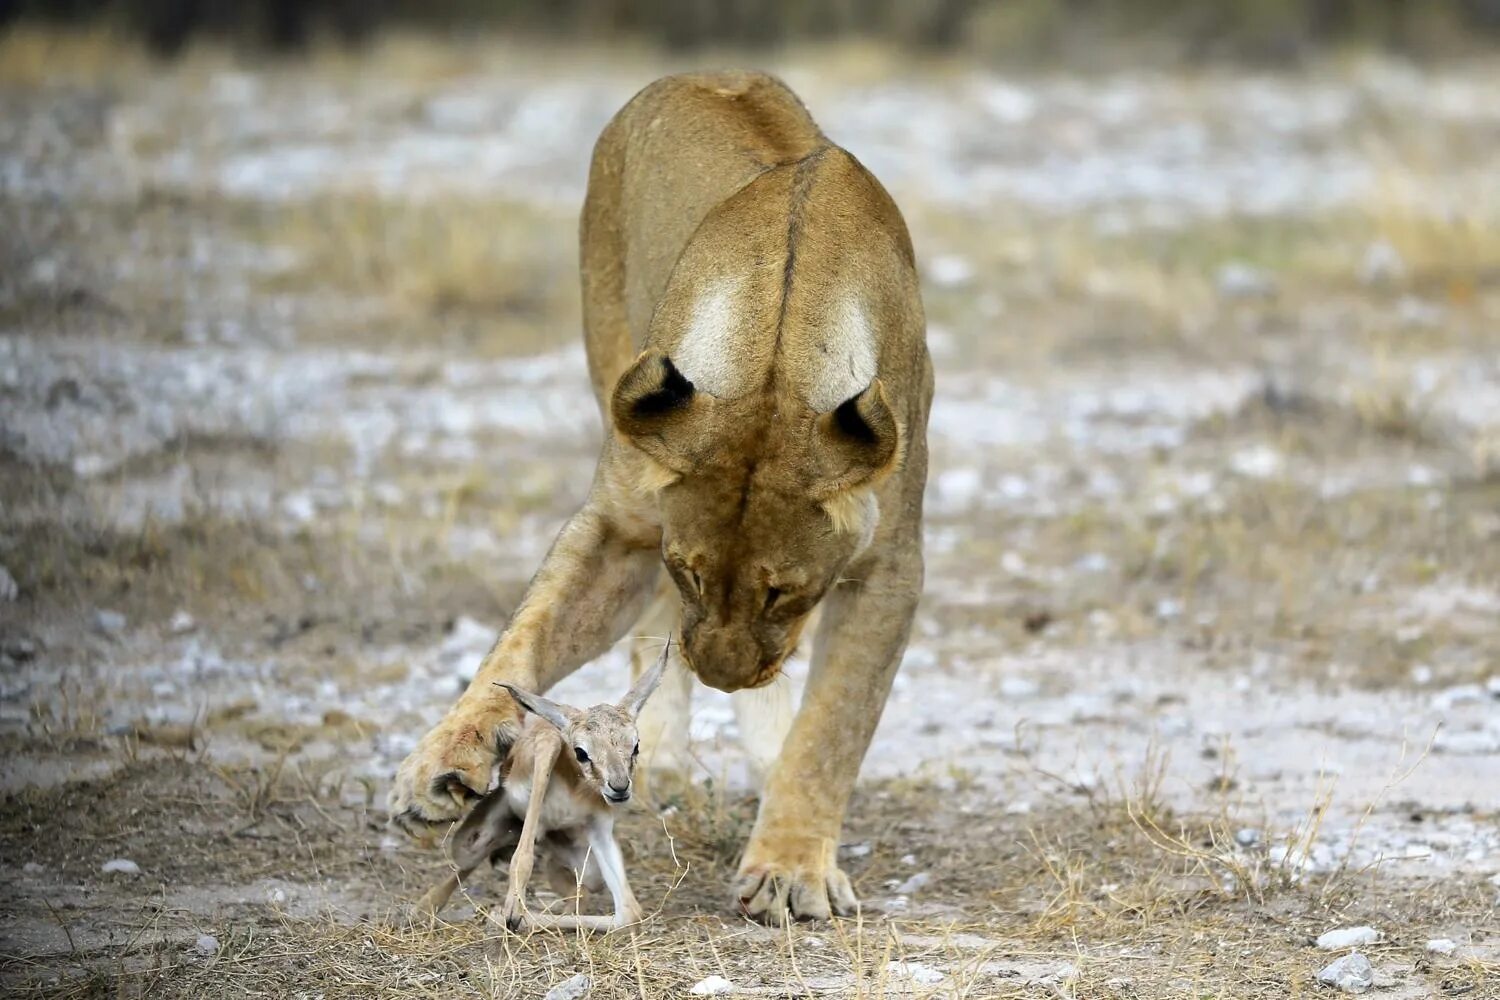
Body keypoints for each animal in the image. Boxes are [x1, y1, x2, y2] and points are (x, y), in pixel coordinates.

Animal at [417, 641, 663, 929]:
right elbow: (522, 856)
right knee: (468, 861)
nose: (620, 787)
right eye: (581, 752)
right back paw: (425, 908)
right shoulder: (547, 746)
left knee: (580, 891)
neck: (575, 791)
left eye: (635, 746)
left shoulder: (598, 827)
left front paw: (510, 915)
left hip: (581, 866)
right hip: (472, 842)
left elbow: (629, 913)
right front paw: (508, 912)